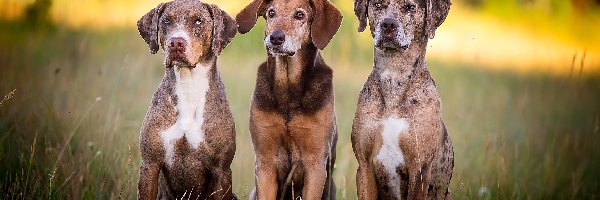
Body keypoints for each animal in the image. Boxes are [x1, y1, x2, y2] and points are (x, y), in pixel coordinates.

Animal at [137, 0, 238, 199]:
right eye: (166, 21)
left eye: (198, 21)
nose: (176, 42)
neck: (188, 86)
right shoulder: (150, 165)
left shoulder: (222, 170)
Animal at [237, 0, 342, 199]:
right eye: (271, 13)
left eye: (299, 15)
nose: (275, 37)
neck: (288, 88)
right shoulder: (265, 162)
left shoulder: (315, 164)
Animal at [350, 0, 452, 200]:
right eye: (377, 5)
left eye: (410, 7)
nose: (388, 24)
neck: (394, 75)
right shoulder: (364, 166)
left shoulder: (420, 169)